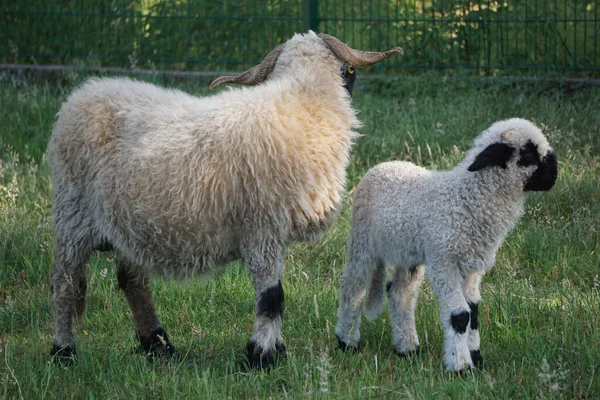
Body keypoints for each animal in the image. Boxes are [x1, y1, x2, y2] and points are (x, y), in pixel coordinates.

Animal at [48, 31, 404, 368]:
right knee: (65, 284)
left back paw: (158, 346)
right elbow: (271, 297)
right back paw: (64, 351)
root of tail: (79, 96)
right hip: (72, 212)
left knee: (132, 282)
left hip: (127, 221)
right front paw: (261, 357)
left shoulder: (274, 233)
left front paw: (275, 352)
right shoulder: (261, 228)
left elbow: (273, 293)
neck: (303, 103)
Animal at [336, 118, 556, 372]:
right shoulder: (444, 262)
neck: (465, 198)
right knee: (354, 288)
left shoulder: (472, 268)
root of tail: (385, 164)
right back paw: (347, 341)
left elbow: (474, 312)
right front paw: (460, 365)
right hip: (362, 242)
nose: (555, 176)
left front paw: (476, 357)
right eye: (528, 154)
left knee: (400, 294)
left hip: (408, 254)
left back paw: (407, 348)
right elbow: (460, 316)